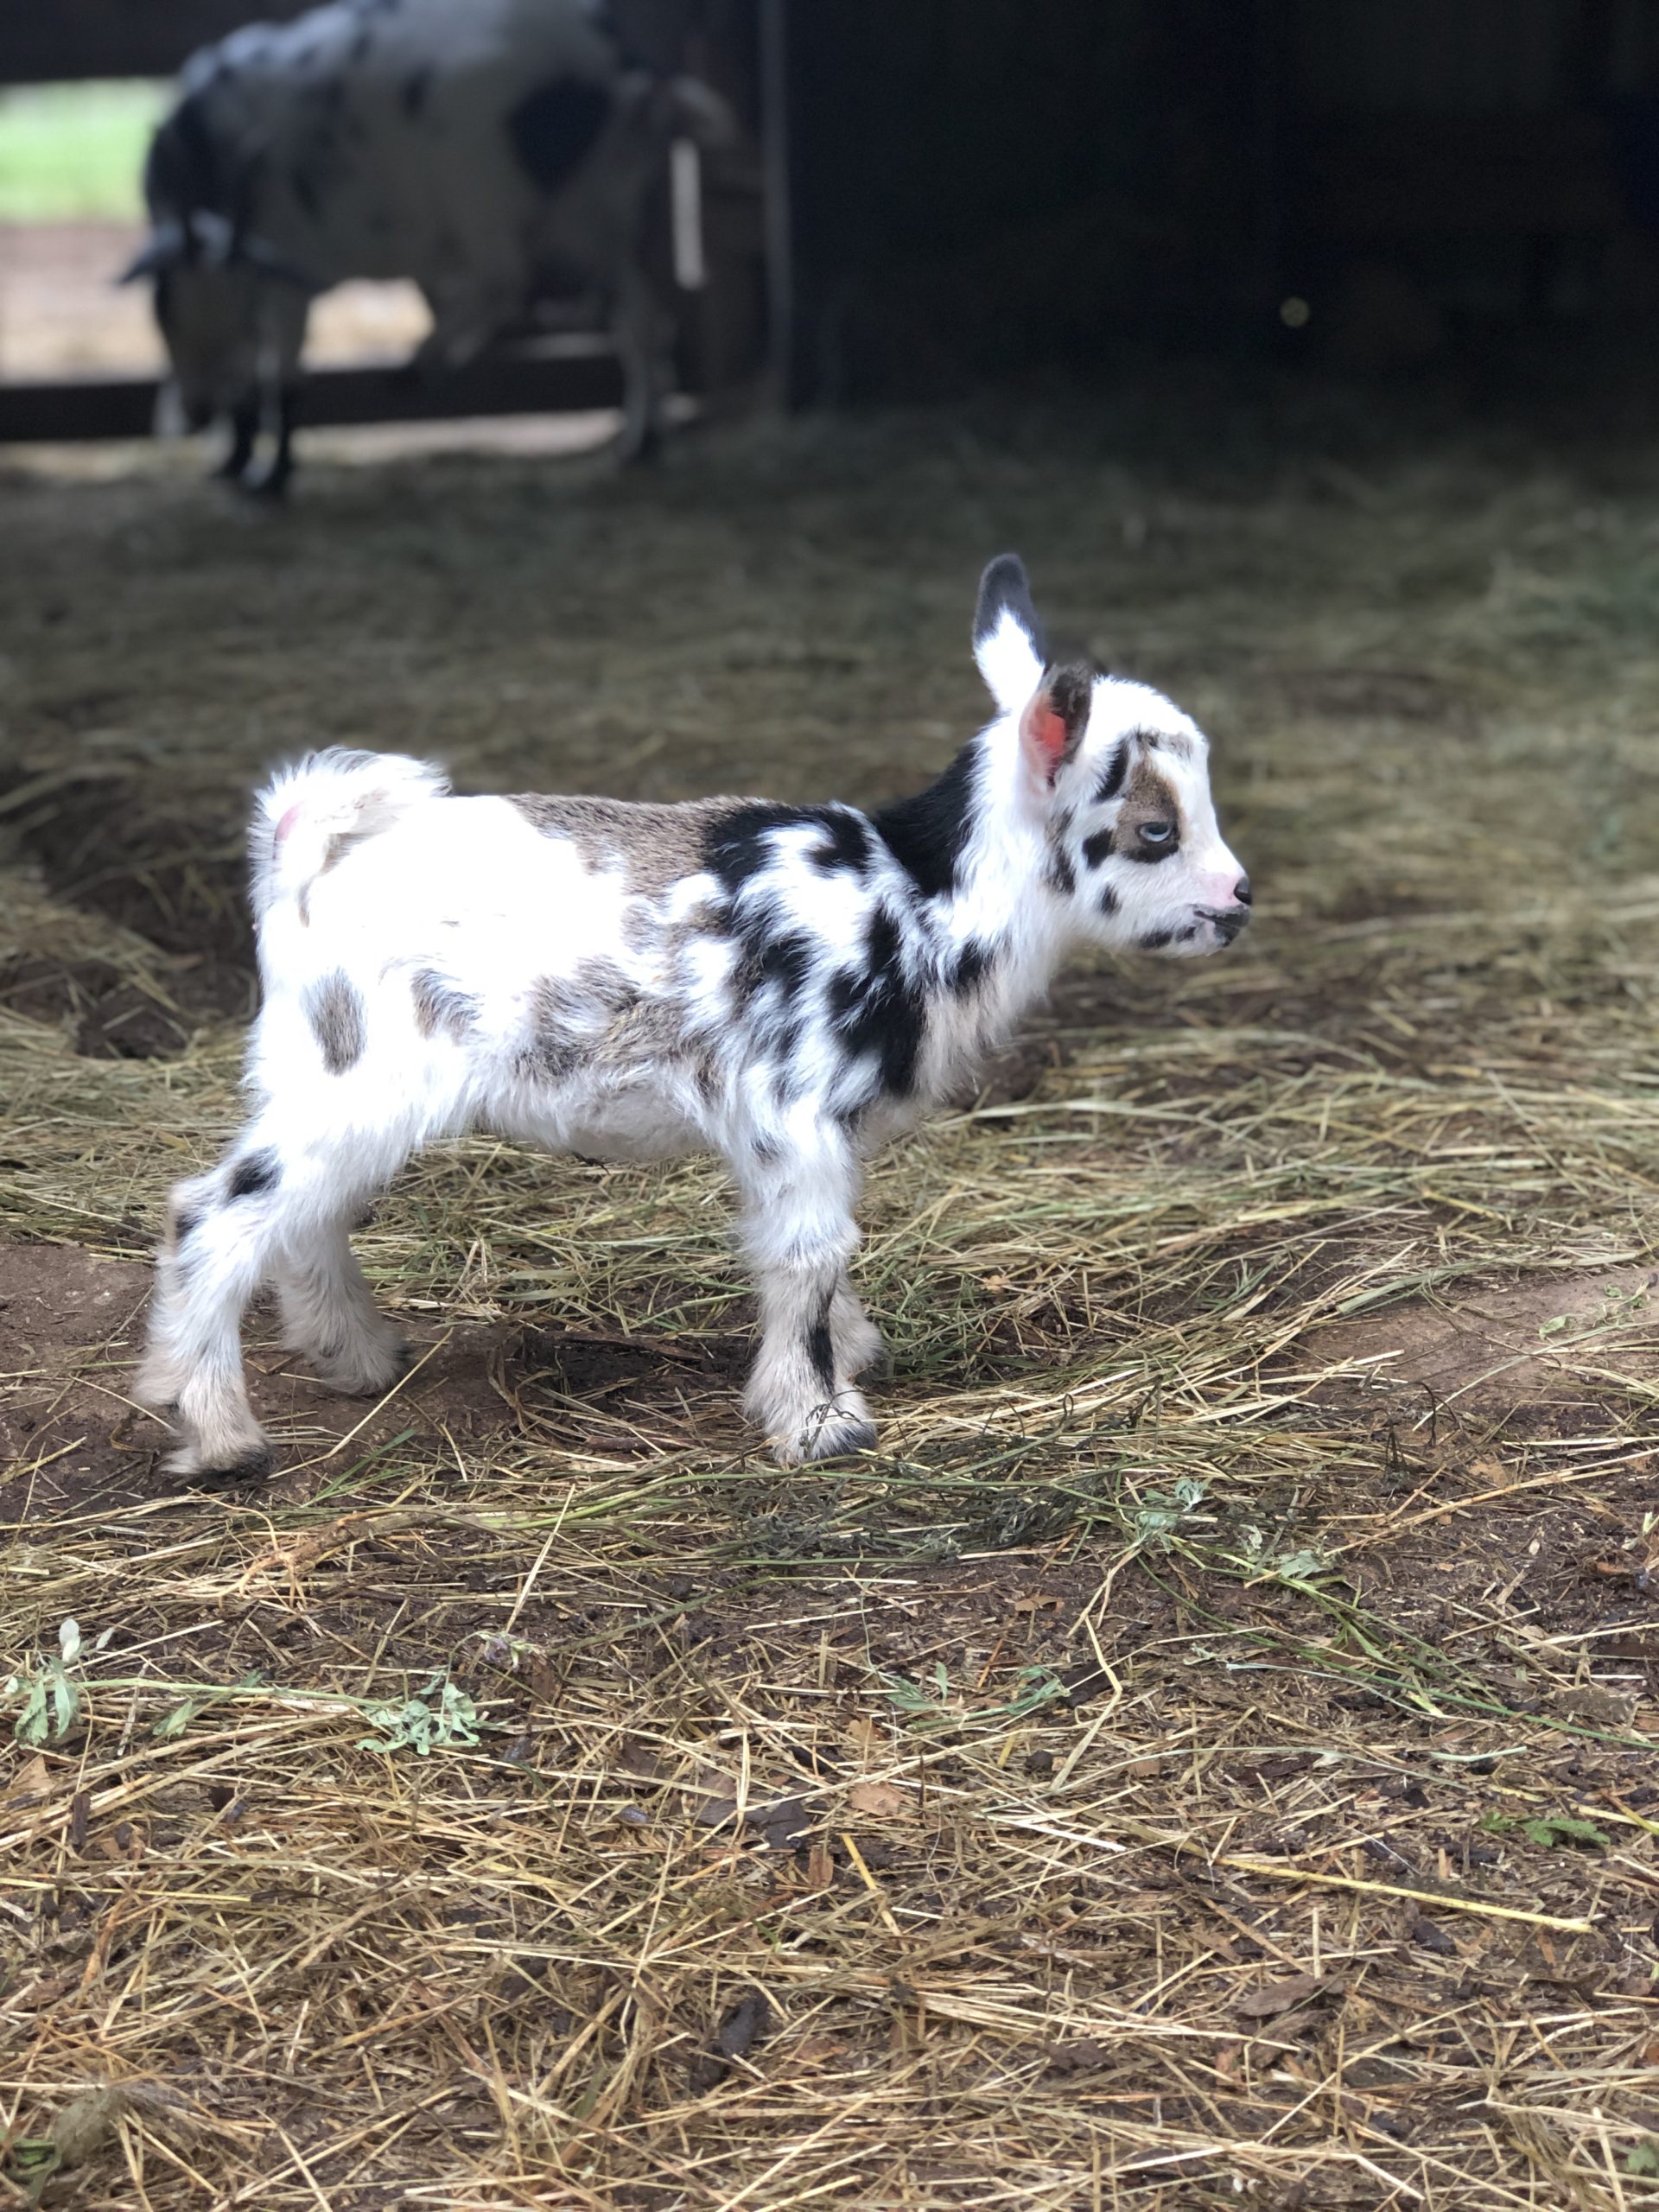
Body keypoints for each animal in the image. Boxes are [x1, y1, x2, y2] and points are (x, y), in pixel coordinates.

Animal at [139, 556, 1251, 1473]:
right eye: (1155, 828)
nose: (1238, 900)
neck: (915, 899)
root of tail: (302, 859)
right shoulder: (793, 1109)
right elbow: (810, 1251)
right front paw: (821, 1423)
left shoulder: (799, 1133)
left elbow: (807, 1252)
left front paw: (850, 1354)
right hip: (358, 1075)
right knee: (219, 1210)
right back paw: (222, 1434)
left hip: (326, 1074)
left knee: (308, 1215)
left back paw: (359, 1357)